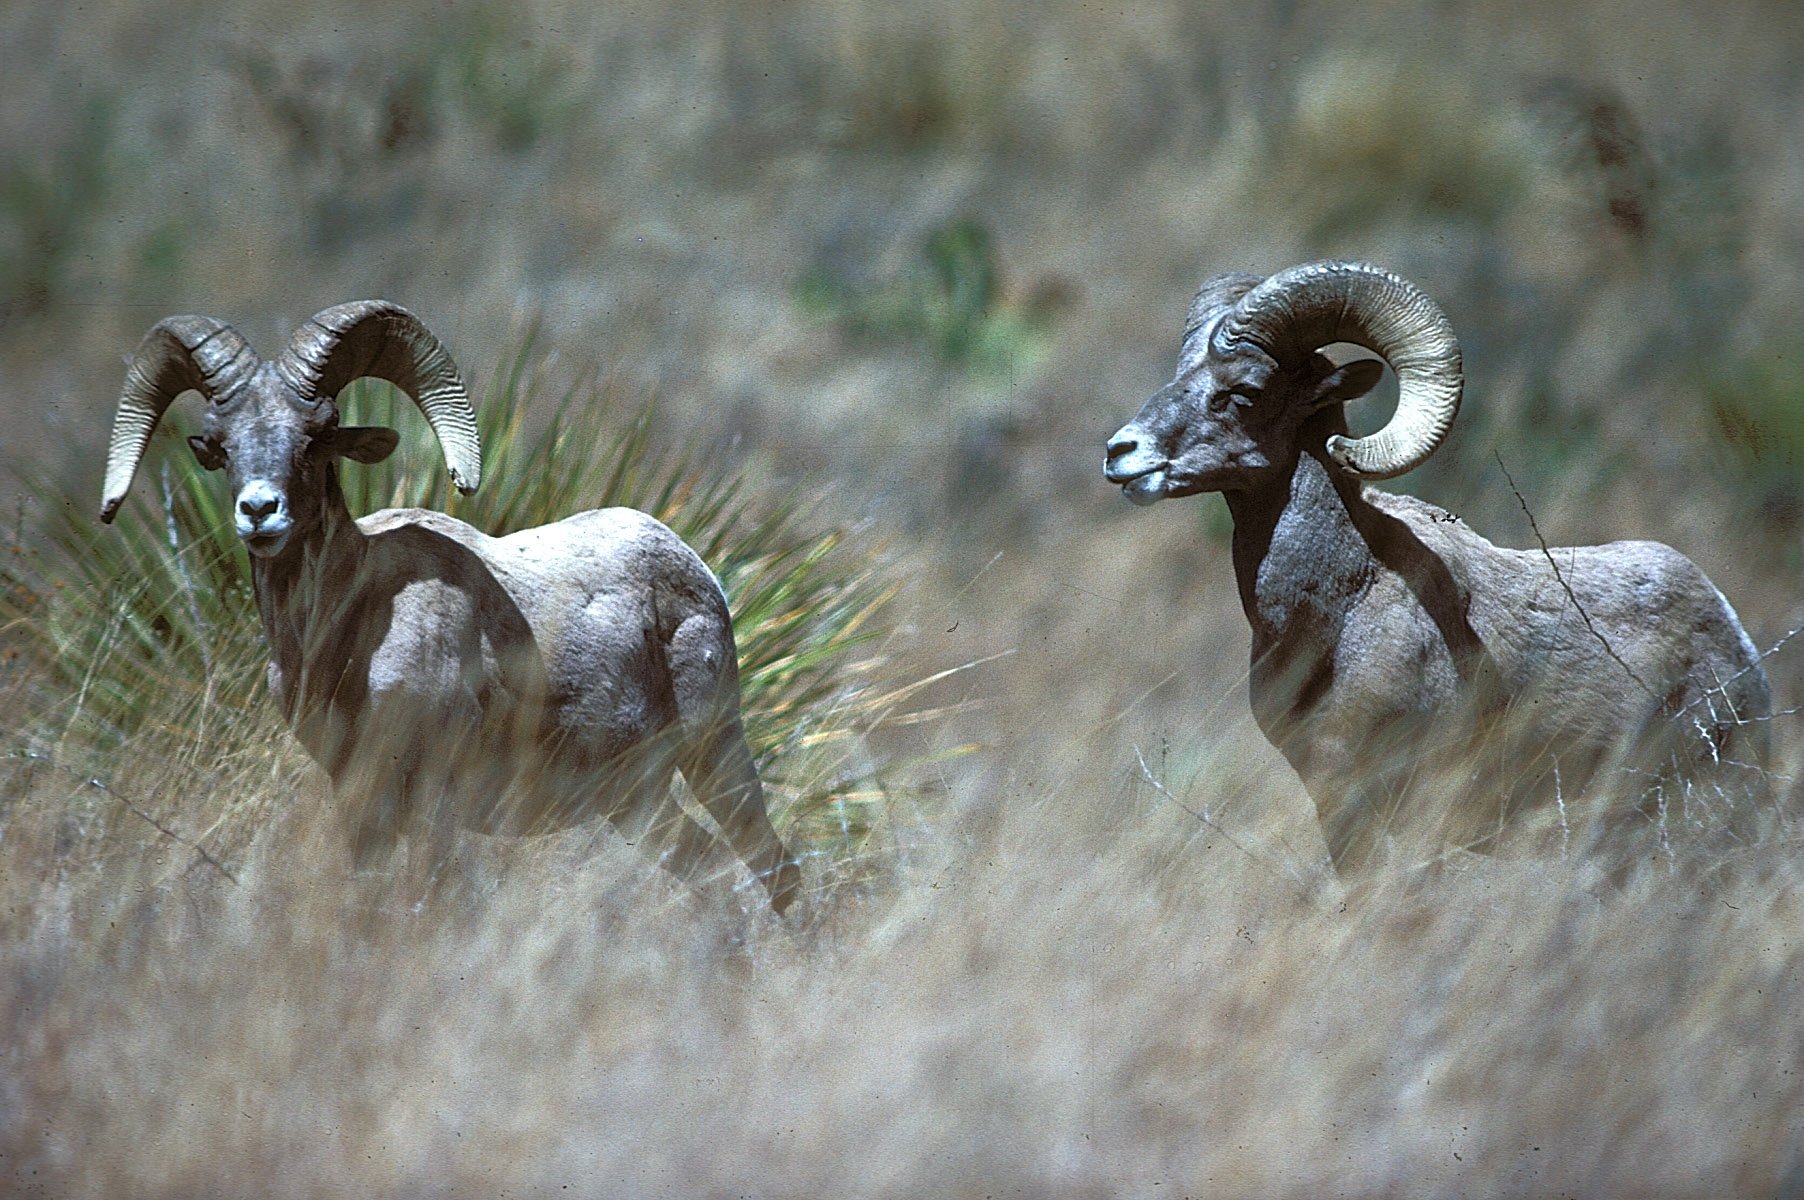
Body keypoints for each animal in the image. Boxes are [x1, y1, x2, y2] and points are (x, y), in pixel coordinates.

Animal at [98, 300, 801, 913]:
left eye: (318, 435)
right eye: (221, 443)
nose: (259, 511)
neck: (341, 637)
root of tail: (694, 567)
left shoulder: (434, 801)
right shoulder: (360, 801)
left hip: (714, 753)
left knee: (773, 866)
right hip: (634, 800)